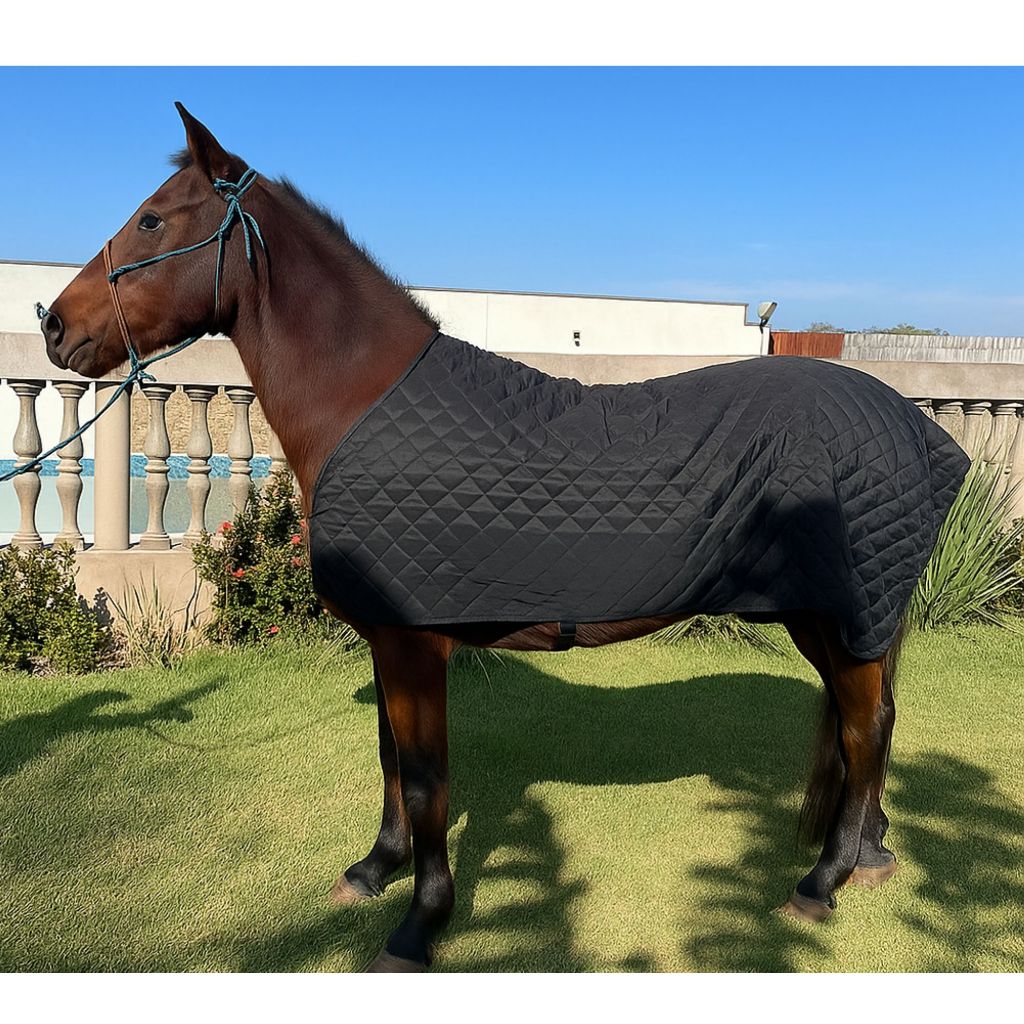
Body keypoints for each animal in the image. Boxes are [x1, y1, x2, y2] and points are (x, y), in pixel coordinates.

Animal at [37, 104, 969, 972]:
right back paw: (870, 854)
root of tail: (907, 421)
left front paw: (421, 922)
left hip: (838, 614)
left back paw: (823, 880)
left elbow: (425, 781)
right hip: (842, 619)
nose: (52, 325)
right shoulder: (391, 638)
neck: (364, 406)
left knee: (865, 726)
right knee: (869, 723)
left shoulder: (413, 642)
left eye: (154, 219)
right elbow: (390, 758)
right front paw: (374, 870)